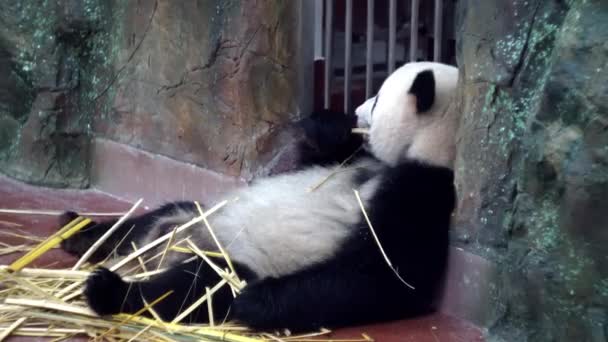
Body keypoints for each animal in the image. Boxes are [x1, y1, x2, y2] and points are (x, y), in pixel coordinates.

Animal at [63, 60, 460, 332]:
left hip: (226, 258)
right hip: (194, 215)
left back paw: (110, 291)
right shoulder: (352, 161)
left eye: (378, 101)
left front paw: (254, 302)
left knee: (197, 285)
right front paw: (328, 125)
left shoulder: (423, 192)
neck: (419, 152)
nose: (359, 111)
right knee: (152, 218)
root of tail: (166, 250)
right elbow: (312, 158)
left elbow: (380, 277)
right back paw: (79, 232)